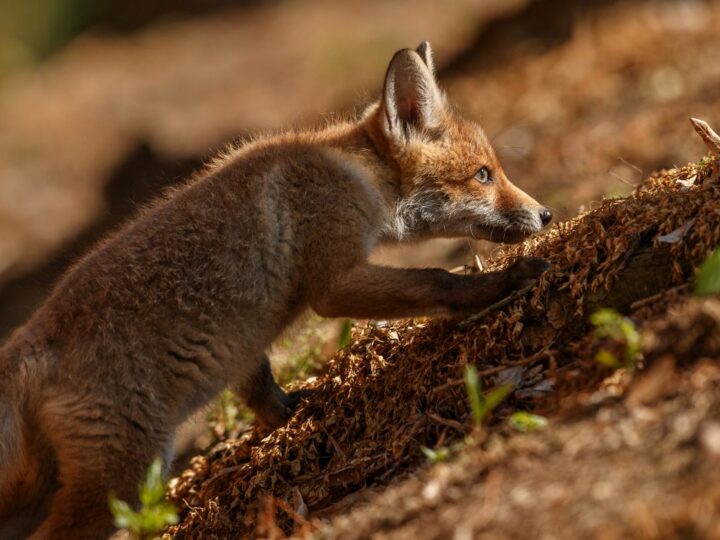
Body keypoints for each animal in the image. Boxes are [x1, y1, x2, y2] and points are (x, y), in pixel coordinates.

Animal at [1, 41, 552, 536]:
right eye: (483, 175)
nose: (546, 214)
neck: (356, 174)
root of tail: (31, 339)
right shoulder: (333, 284)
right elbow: (437, 279)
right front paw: (501, 284)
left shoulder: (243, 347)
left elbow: (259, 386)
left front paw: (289, 416)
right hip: (125, 477)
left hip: (46, 487)